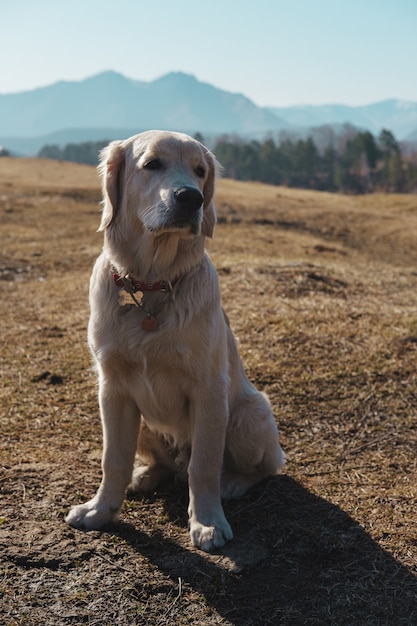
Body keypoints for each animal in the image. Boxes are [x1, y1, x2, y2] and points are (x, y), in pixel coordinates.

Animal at [65, 129, 284, 548]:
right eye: (152, 164)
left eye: (200, 172)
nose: (192, 198)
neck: (152, 284)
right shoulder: (112, 389)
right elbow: (112, 458)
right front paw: (100, 510)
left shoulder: (210, 389)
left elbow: (204, 465)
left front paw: (208, 522)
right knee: (163, 465)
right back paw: (144, 476)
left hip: (249, 414)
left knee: (267, 466)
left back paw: (233, 483)